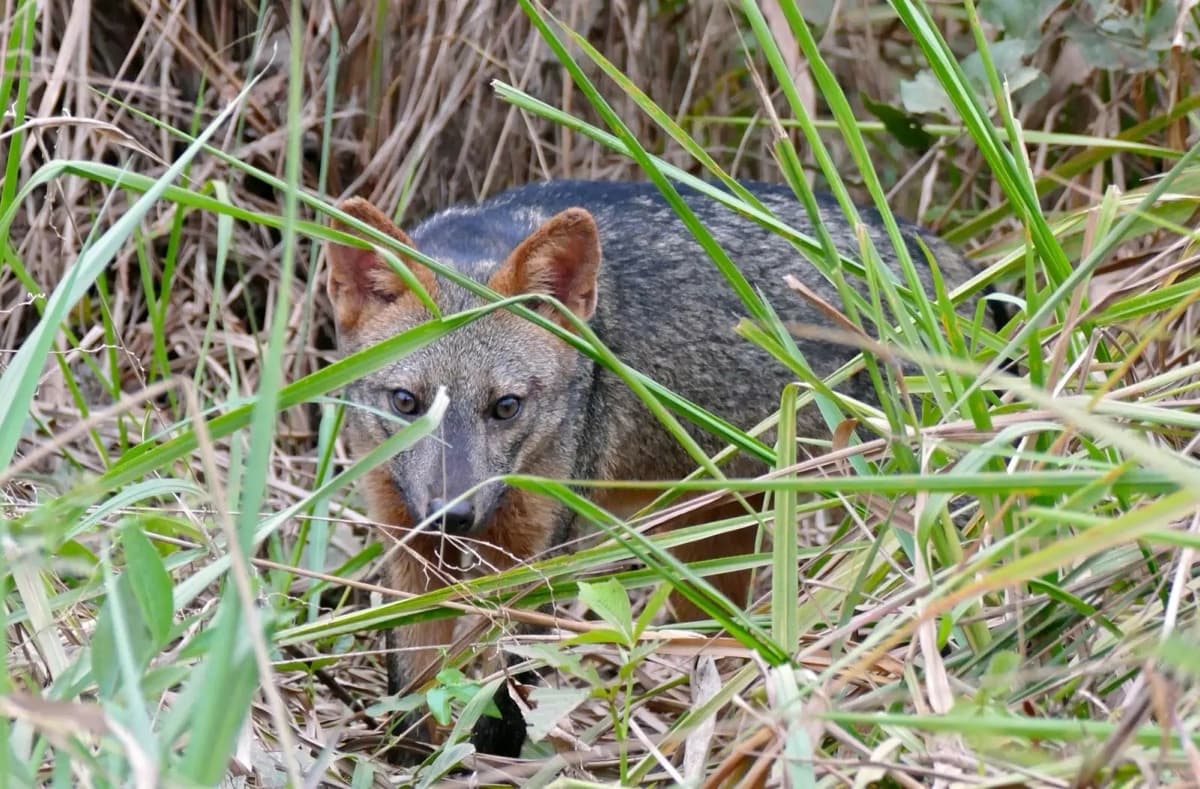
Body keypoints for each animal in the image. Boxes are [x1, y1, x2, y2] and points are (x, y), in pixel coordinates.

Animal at [323, 180, 994, 759]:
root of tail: (940, 251)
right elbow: (415, 683)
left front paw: (491, 760)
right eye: (405, 402)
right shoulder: (405, 545)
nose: (450, 514)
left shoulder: (530, 555)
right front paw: (411, 759)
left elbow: (503, 685)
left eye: (505, 407)